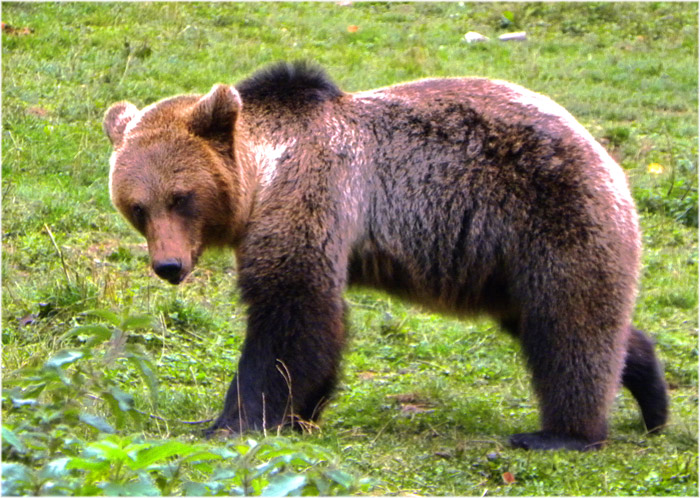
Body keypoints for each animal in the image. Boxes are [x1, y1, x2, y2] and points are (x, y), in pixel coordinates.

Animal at [104, 61, 668, 451]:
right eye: (137, 207)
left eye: (182, 197)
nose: (169, 266)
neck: (262, 178)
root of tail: (604, 155)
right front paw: (299, 415)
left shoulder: (313, 195)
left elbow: (291, 318)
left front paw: (233, 420)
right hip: (501, 264)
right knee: (552, 318)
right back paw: (651, 393)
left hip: (550, 215)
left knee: (568, 322)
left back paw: (563, 433)